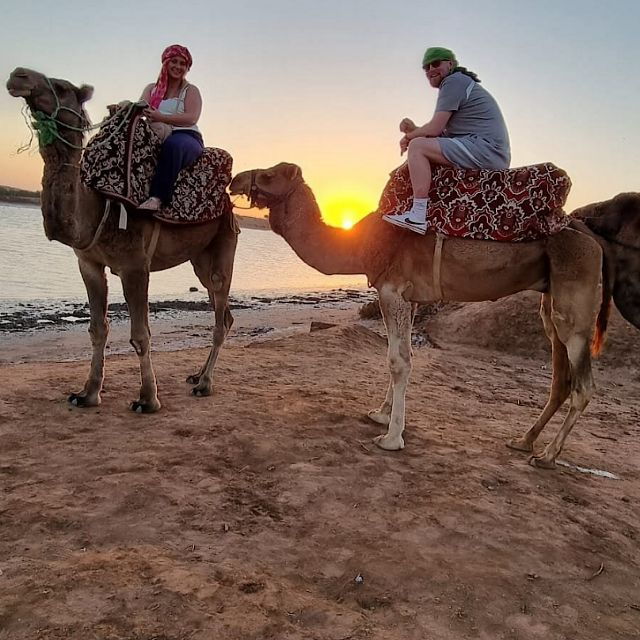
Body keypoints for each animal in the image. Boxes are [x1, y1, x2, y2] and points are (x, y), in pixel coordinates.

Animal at [7, 68, 237, 412]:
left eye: (61, 87)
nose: (17, 75)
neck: (98, 205)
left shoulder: (135, 266)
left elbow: (140, 335)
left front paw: (148, 399)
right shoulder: (88, 263)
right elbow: (97, 329)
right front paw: (87, 394)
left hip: (225, 244)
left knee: (221, 316)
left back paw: (205, 384)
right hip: (199, 260)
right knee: (224, 313)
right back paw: (197, 375)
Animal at [230, 163, 610, 469]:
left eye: (270, 174)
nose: (236, 179)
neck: (359, 246)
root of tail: (592, 240)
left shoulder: (392, 291)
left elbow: (397, 360)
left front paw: (391, 438)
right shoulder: (410, 297)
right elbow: (405, 354)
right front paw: (381, 414)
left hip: (575, 299)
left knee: (584, 384)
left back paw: (547, 456)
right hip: (551, 299)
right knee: (560, 377)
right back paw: (523, 441)